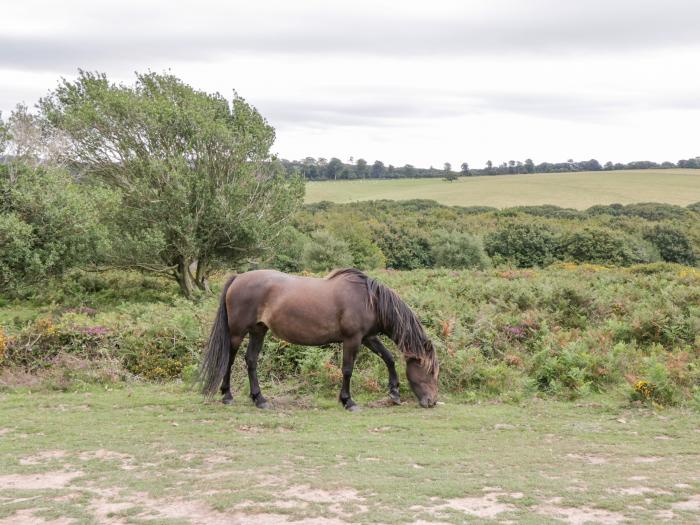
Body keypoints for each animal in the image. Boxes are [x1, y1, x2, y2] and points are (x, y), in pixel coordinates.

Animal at [198, 270, 438, 410]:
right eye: (429, 371)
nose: (432, 401)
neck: (370, 300)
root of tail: (238, 278)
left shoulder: (367, 337)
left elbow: (388, 358)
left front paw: (394, 393)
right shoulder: (352, 339)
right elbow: (347, 370)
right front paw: (348, 401)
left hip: (259, 330)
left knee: (251, 360)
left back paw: (260, 399)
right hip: (237, 333)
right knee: (229, 359)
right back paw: (227, 396)